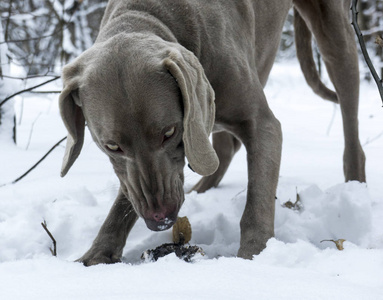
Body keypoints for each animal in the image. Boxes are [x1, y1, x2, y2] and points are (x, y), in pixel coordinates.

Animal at [59, 0, 366, 268]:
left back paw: (356, 186)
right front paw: (95, 254)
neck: (151, 16)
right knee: (222, 148)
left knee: (349, 112)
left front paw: (253, 257)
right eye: (112, 146)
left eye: (169, 132)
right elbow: (128, 194)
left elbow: (257, 200)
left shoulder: (261, 125)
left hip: (334, 34)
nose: (160, 218)